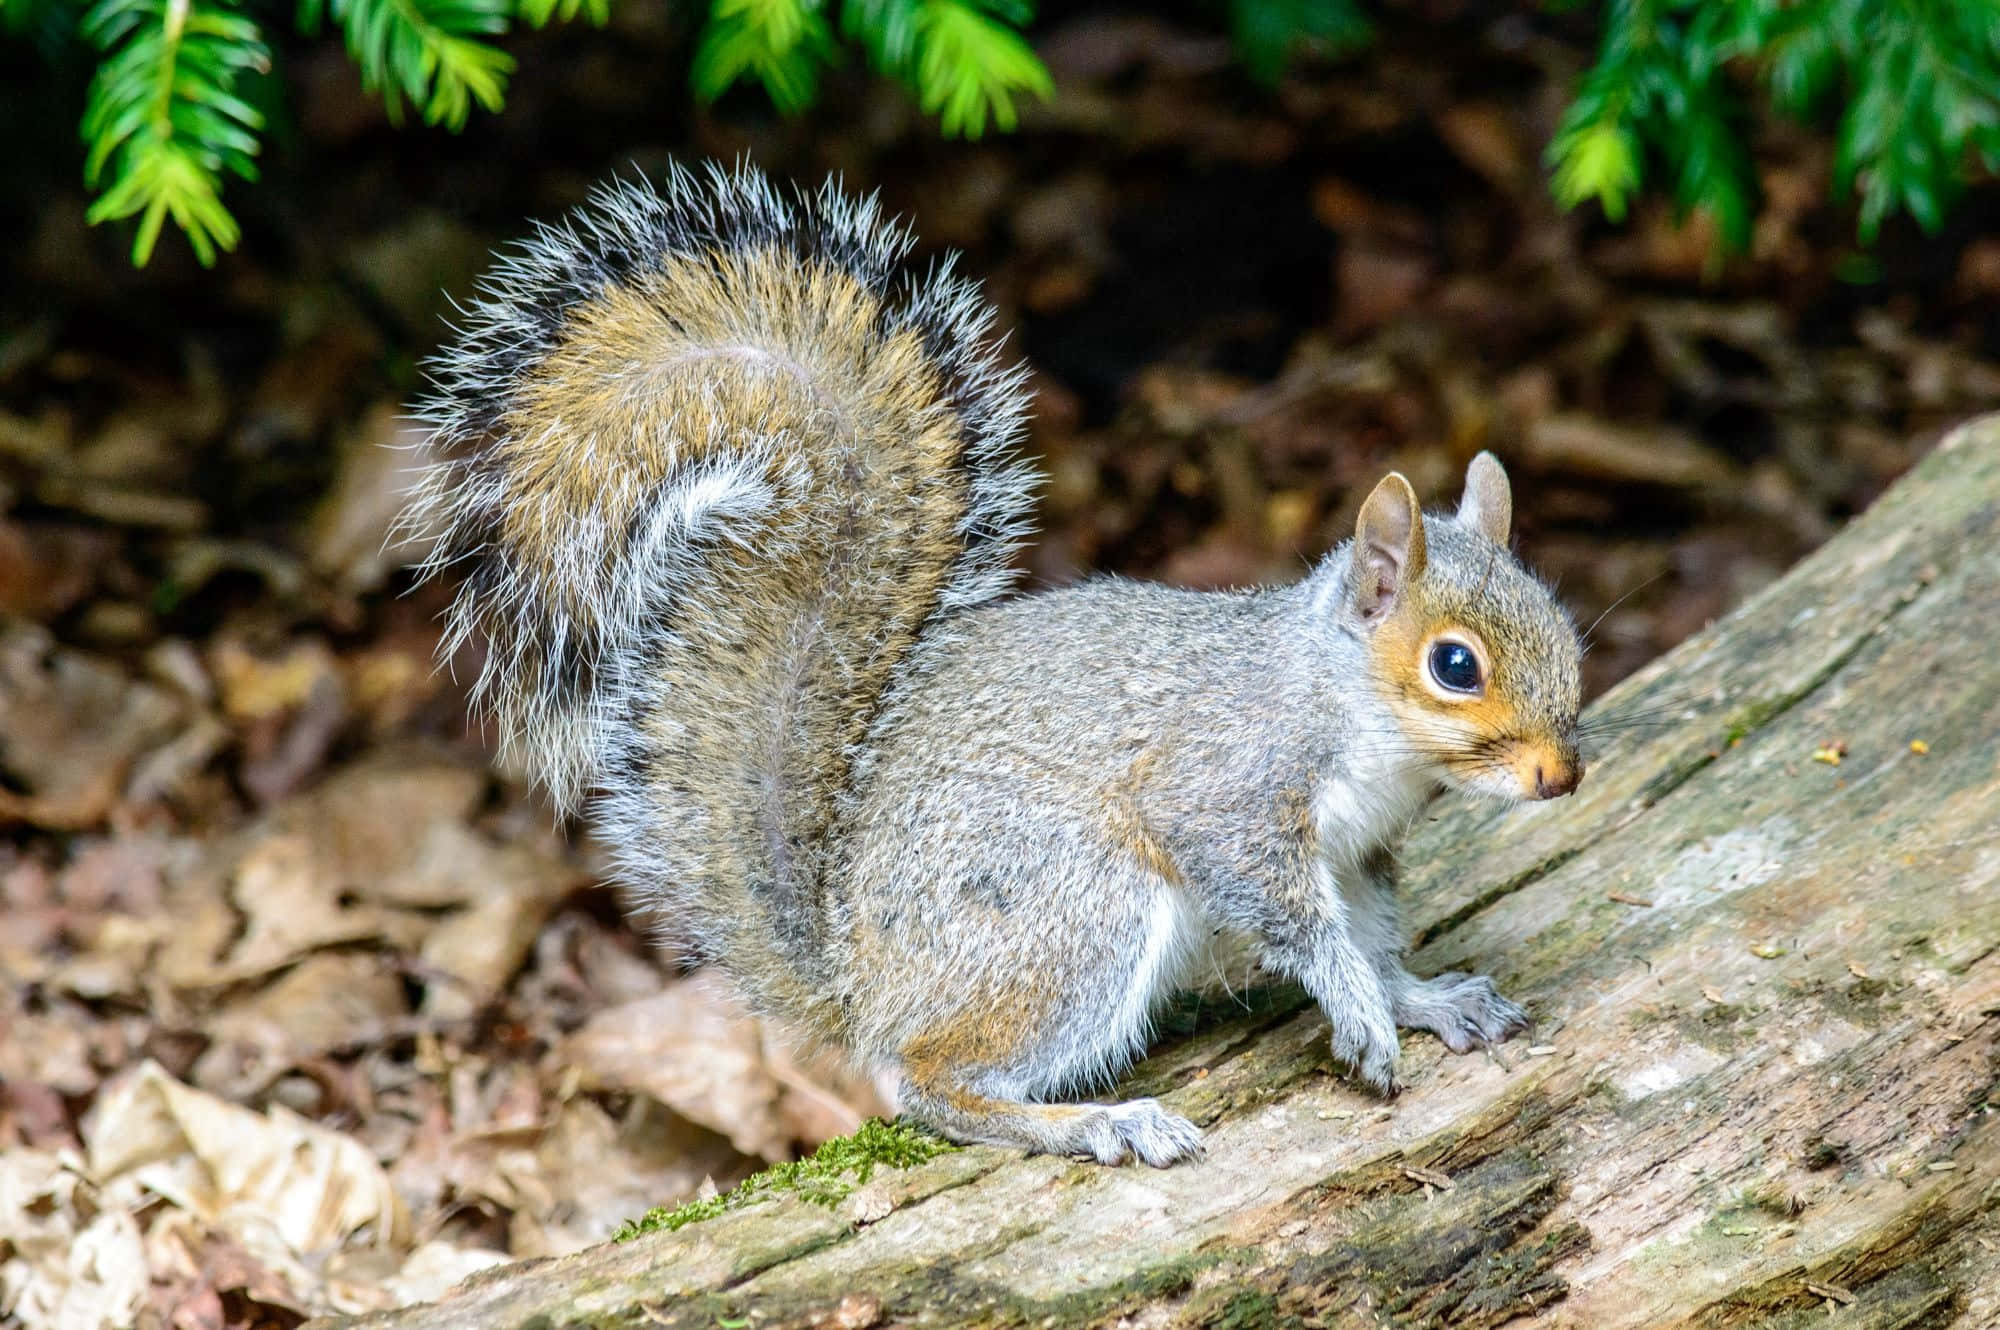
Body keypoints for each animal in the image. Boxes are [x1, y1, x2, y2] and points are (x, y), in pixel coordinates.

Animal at [405, 162, 1585, 1168]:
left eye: (1566, 631)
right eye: (1453, 665)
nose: (1562, 777)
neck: (1349, 711)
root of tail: (856, 982)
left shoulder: (1361, 853)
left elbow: (1375, 937)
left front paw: (1419, 998)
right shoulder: (1231, 793)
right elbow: (1299, 922)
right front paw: (1360, 1016)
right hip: (1073, 907)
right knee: (929, 1085)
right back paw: (1098, 1122)